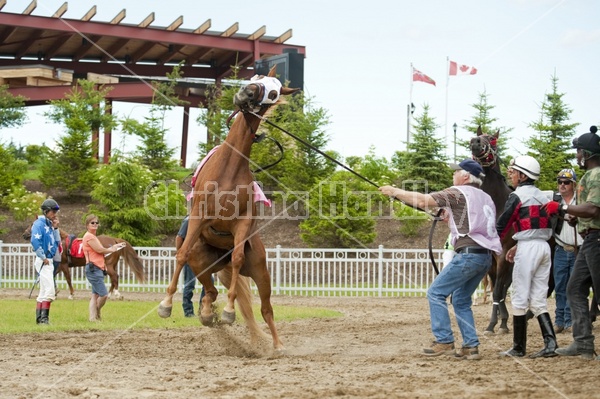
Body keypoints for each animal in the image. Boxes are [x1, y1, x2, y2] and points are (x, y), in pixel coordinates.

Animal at [157, 66, 298, 350]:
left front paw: (230, 311)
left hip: (261, 272)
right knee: (209, 289)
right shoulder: (199, 216)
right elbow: (181, 253)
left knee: (266, 308)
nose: (247, 93)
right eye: (257, 77)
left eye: (274, 93)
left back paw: (277, 345)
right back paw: (206, 314)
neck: (229, 168)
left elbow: (237, 258)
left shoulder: (242, 224)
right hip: (202, 261)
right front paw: (165, 304)